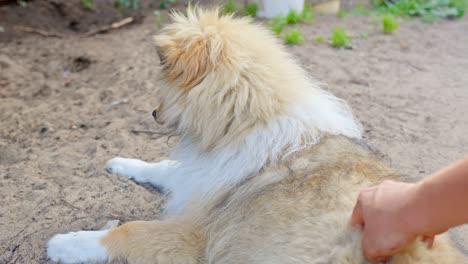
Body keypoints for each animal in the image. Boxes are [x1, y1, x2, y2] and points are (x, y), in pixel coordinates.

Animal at [46, 8, 464, 264]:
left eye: (162, 85)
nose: (152, 113)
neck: (246, 120)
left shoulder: (198, 233)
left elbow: (130, 230)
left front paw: (66, 243)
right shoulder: (203, 179)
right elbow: (164, 167)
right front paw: (120, 162)